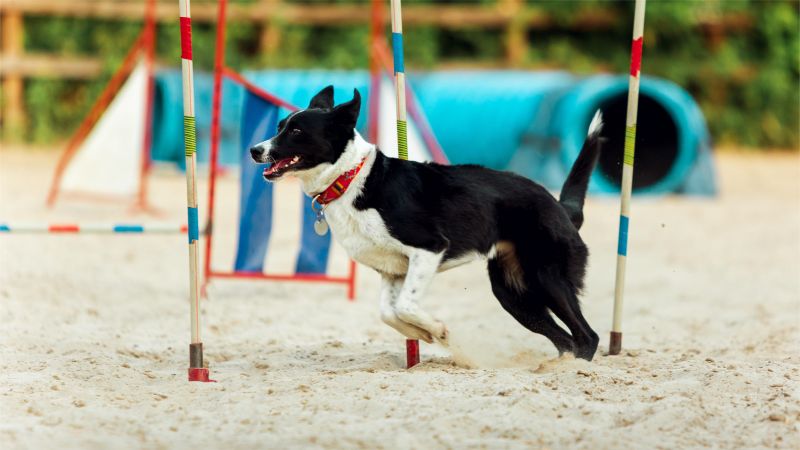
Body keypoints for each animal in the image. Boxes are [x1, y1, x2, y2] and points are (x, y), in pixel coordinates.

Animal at [252, 87, 608, 362]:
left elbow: (406, 305)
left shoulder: (429, 249)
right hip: (513, 294)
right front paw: (421, 334)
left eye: (296, 131)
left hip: (548, 277)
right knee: (565, 339)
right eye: (280, 125)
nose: (255, 150)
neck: (351, 178)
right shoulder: (392, 270)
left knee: (587, 336)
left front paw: (438, 330)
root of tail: (561, 207)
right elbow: (388, 312)